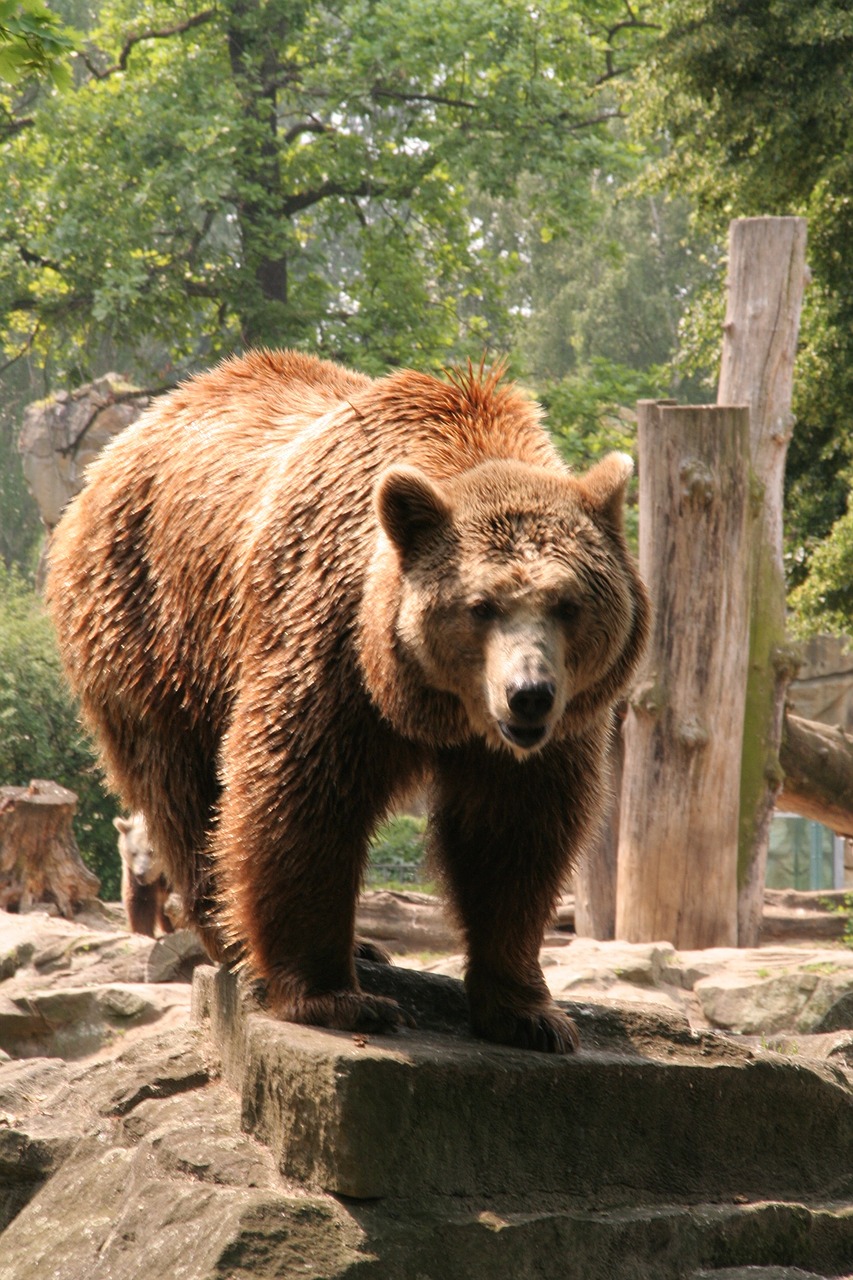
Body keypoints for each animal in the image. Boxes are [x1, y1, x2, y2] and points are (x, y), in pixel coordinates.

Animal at [112, 808, 174, 942]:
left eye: (151, 852)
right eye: (134, 853)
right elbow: (141, 901)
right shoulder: (132, 872)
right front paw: (144, 932)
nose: (141, 873)